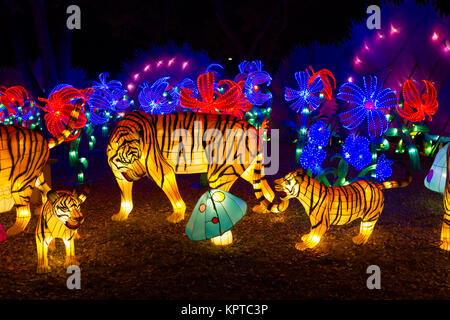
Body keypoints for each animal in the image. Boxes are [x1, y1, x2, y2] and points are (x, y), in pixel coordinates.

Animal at [0, 101, 82, 236]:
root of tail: (42, 137)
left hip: (20, 181)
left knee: (25, 212)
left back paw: (13, 231)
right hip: (36, 175)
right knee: (47, 191)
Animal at [106, 110, 284, 222]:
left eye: (140, 157)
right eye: (130, 160)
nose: (141, 173)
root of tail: (252, 127)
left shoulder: (162, 171)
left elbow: (175, 197)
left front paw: (177, 216)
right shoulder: (120, 177)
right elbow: (125, 199)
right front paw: (121, 215)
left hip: (220, 173)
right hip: (246, 168)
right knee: (265, 189)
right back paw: (262, 208)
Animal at [270, 166, 412, 251]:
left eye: (286, 180)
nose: (274, 182)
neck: (304, 197)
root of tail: (376, 185)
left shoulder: (321, 222)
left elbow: (315, 235)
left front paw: (305, 245)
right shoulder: (314, 220)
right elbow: (311, 231)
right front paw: (306, 237)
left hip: (370, 216)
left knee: (367, 229)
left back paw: (359, 240)